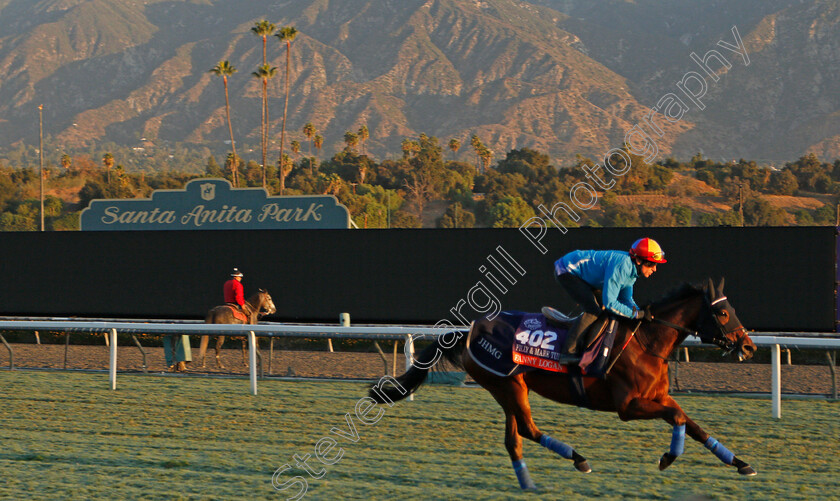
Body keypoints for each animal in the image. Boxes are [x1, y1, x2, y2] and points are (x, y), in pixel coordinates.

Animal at [370, 278, 756, 488]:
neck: (647, 341)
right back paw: (578, 459)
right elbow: (678, 419)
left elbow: (692, 424)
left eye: (733, 309)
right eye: (723, 312)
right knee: (527, 430)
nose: (749, 346)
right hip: (510, 387)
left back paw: (528, 482)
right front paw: (667, 458)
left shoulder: (658, 397)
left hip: (506, 388)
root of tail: (469, 332)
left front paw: (740, 463)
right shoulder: (628, 406)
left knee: (514, 439)